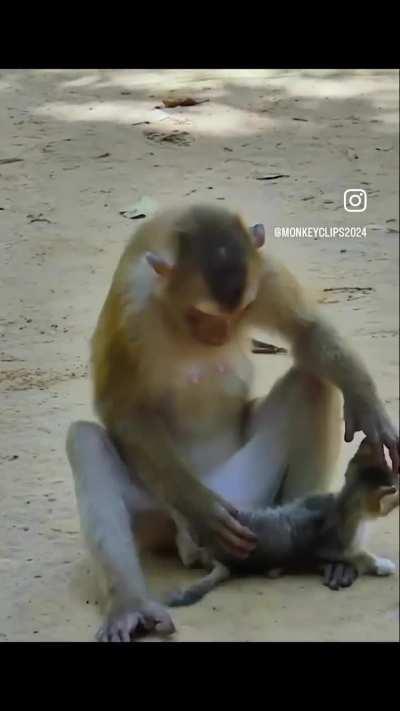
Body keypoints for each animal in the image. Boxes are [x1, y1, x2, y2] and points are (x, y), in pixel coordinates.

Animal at [165, 437, 399, 606]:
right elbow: (359, 555)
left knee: (189, 554)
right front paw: (382, 564)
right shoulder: (332, 546)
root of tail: (222, 561)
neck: (341, 505)